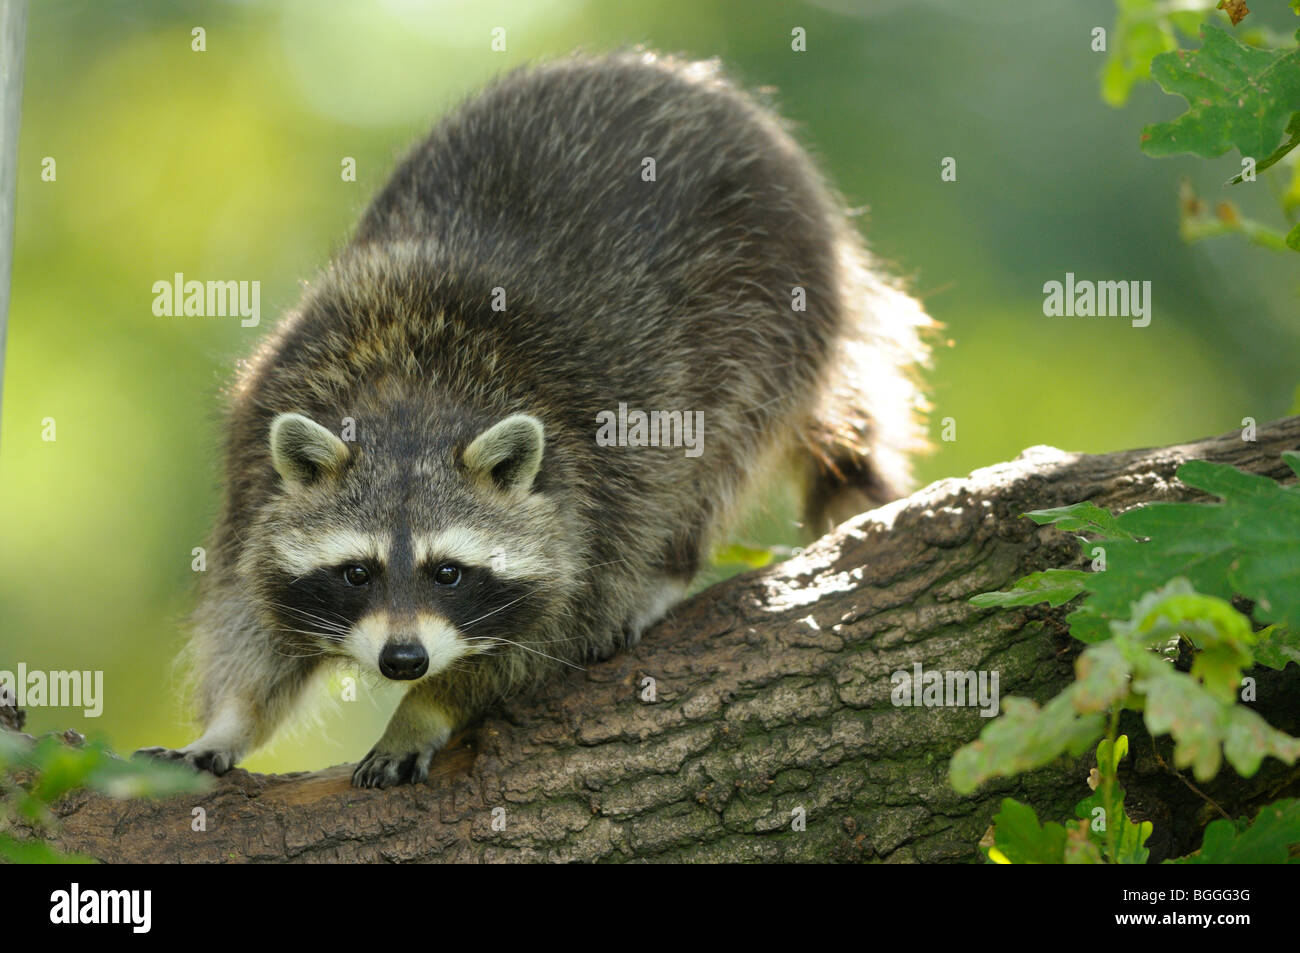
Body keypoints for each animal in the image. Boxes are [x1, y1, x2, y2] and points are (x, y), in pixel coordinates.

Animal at [137, 50, 930, 790]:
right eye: (357, 572)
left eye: (448, 572)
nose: (404, 660)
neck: (408, 400)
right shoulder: (258, 445)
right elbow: (249, 615)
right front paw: (231, 721)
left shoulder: (594, 494)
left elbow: (543, 636)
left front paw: (426, 707)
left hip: (773, 306)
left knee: (719, 448)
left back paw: (668, 566)